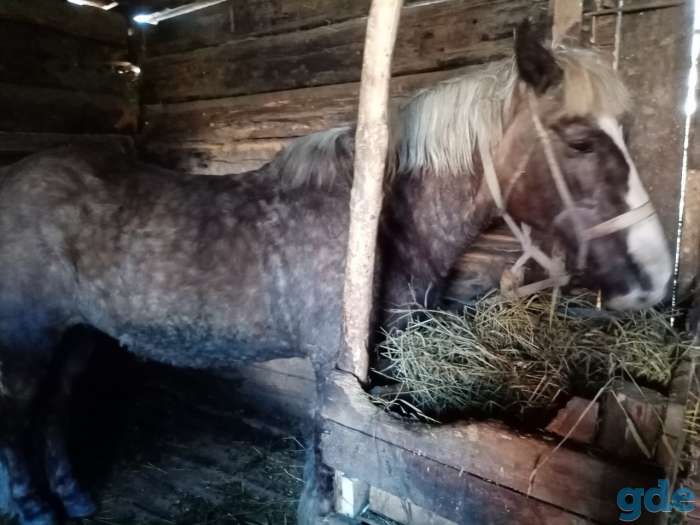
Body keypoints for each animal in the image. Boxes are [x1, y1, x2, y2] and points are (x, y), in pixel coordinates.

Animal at [0, 21, 672, 525]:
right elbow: (326, 452)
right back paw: (35, 508)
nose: (657, 275)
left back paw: (74, 498)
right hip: (28, 342)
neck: (379, 221)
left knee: (53, 413)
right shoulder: (335, 368)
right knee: (17, 419)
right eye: (580, 142)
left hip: (78, 337)